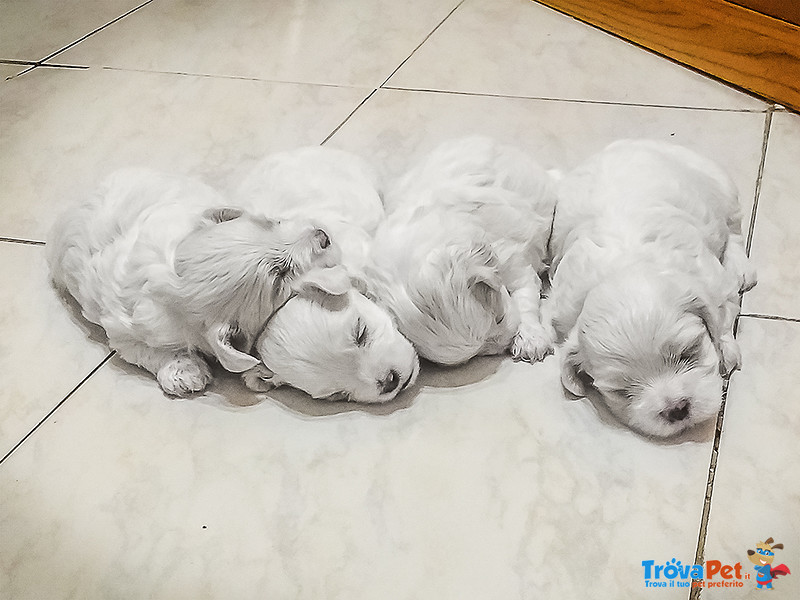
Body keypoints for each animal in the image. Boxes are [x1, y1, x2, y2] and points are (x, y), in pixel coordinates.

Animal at [47, 166, 340, 396]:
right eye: (281, 277)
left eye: (272, 222)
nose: (323, 235)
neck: (169, 282)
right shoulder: (125, 335)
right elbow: (147, 351)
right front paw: (185, 373)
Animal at [368, 137, 556, 366]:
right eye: (482, 352)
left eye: (499, 318)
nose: (503, 344)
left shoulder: (511, 259)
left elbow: (525, 299)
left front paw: (531, 340)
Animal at [544, 143, 756, 438]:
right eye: (622, 389)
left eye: (689, 353)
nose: (676, 409)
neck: (627, 266)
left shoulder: (714, 282)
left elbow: (723, 318)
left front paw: (727, 351)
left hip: (720, 187)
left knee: (733, 228)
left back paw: (741, 267)